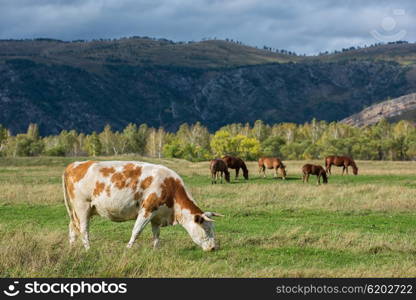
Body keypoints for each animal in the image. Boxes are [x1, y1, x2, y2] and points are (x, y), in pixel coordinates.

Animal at [62, 162, 223, 251]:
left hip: (77, 211)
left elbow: (156, 234)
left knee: (72, 227)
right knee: (84, 230)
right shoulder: (147, 210)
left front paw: (156, 250)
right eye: (207, 229)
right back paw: (88, 249)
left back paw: (72, 248)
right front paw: (127, 249)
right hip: (82, 207)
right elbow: (136, 231)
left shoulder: (157, 215)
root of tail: (75, 164)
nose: (213, 248)